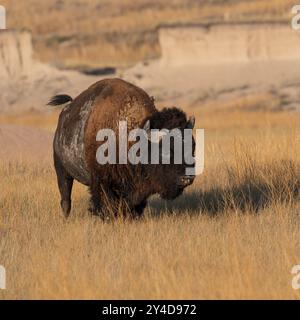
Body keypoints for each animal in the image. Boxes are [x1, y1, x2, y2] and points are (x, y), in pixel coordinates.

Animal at [48, 79, 196, 219]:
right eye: (164, 151)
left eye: (192, 147)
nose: (187, 178)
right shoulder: (102, 182)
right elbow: (107, 204)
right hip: (62, 170)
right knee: (66, 199)